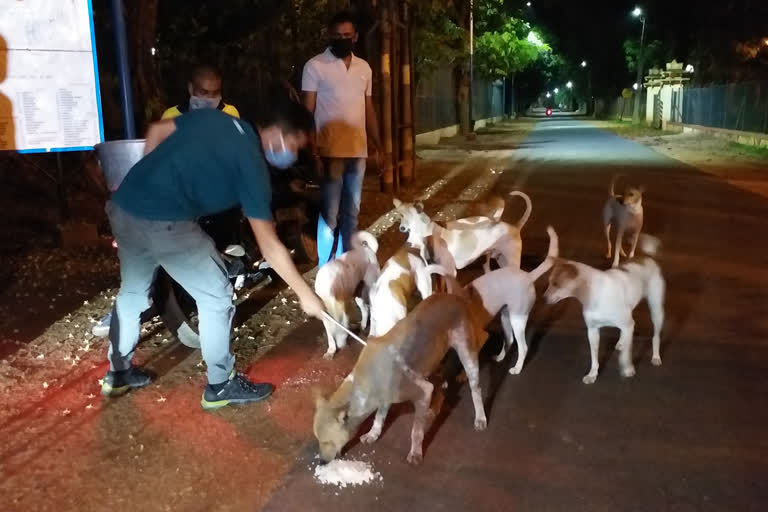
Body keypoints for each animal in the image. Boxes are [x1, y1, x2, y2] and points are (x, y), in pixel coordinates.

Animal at [310, 292, 486, 464]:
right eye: (318, 440)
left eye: (327, 442)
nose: (321, 462)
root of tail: (456, 296)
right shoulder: (385, 397)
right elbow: (379, 418)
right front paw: (373, 434)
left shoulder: (423, 391)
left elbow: (416, 431)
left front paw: (415, 452)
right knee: (441, 383)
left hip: (467, 355)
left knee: (476, 388)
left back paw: (480, 417)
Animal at [316, 232, 380, 360]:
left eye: (344, 331)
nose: (341, 346)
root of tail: (365, 247)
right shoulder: (325, 316)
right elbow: (329, 335)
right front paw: (331, 350)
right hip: (357, 293)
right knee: (365, 308)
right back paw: (363, 324)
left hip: (371, 285)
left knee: (372, 307)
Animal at [464, 226, 556, 374]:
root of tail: (528, 276)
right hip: (505, 317)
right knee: (510, 340)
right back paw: (500, 357)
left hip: (517, 319)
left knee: (523, 347)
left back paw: (517, 368)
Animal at [540, 234, 664, 382]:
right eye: (549, 282)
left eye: (556, 284)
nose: (542, 299)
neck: (594, 293)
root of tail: (646, 257)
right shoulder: (593, 330)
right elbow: (594, 357)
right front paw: (592, 375)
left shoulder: (628, 324)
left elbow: (626, 355)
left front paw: (627, 368)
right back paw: (622, 342)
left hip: (656, 310)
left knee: (655, 336)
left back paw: (655, 356)